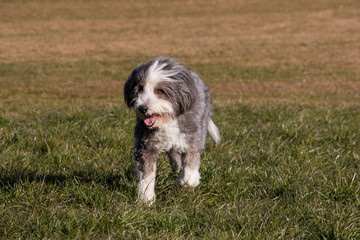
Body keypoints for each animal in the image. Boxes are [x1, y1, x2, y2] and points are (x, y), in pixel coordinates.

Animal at [124, 56, 219, 204]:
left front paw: (188, 180)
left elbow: (191, 161)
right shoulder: (145, 145)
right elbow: (146, 174)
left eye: (160, 91)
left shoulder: (192, 135)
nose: (143, 108)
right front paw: (146, 199)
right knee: (174, 155)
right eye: (139, 89)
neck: (167, 120)